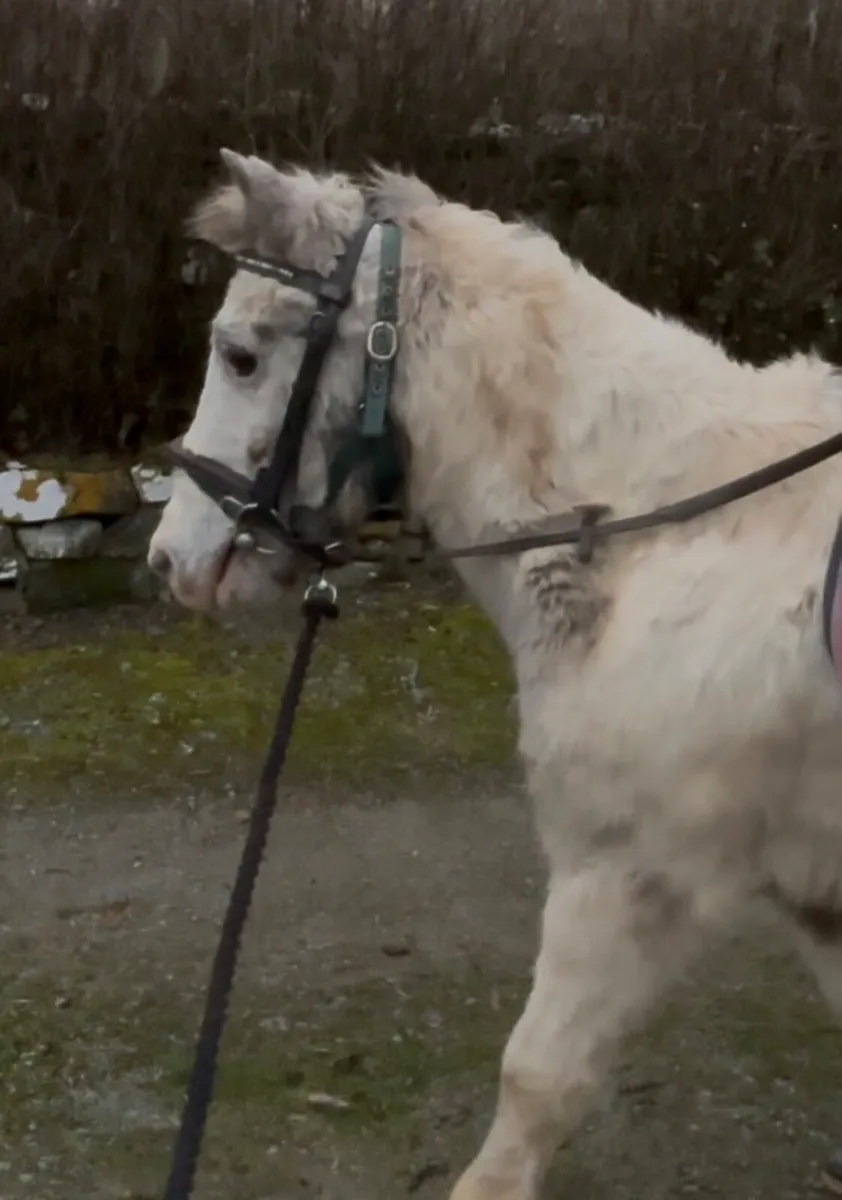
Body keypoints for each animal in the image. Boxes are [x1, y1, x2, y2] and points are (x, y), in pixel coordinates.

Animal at [148, 149, 842, 1199]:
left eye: (239, 355)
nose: (170, 560)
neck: (664, 530)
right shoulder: (818, 903)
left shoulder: (628, 872)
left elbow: (535, 1086)